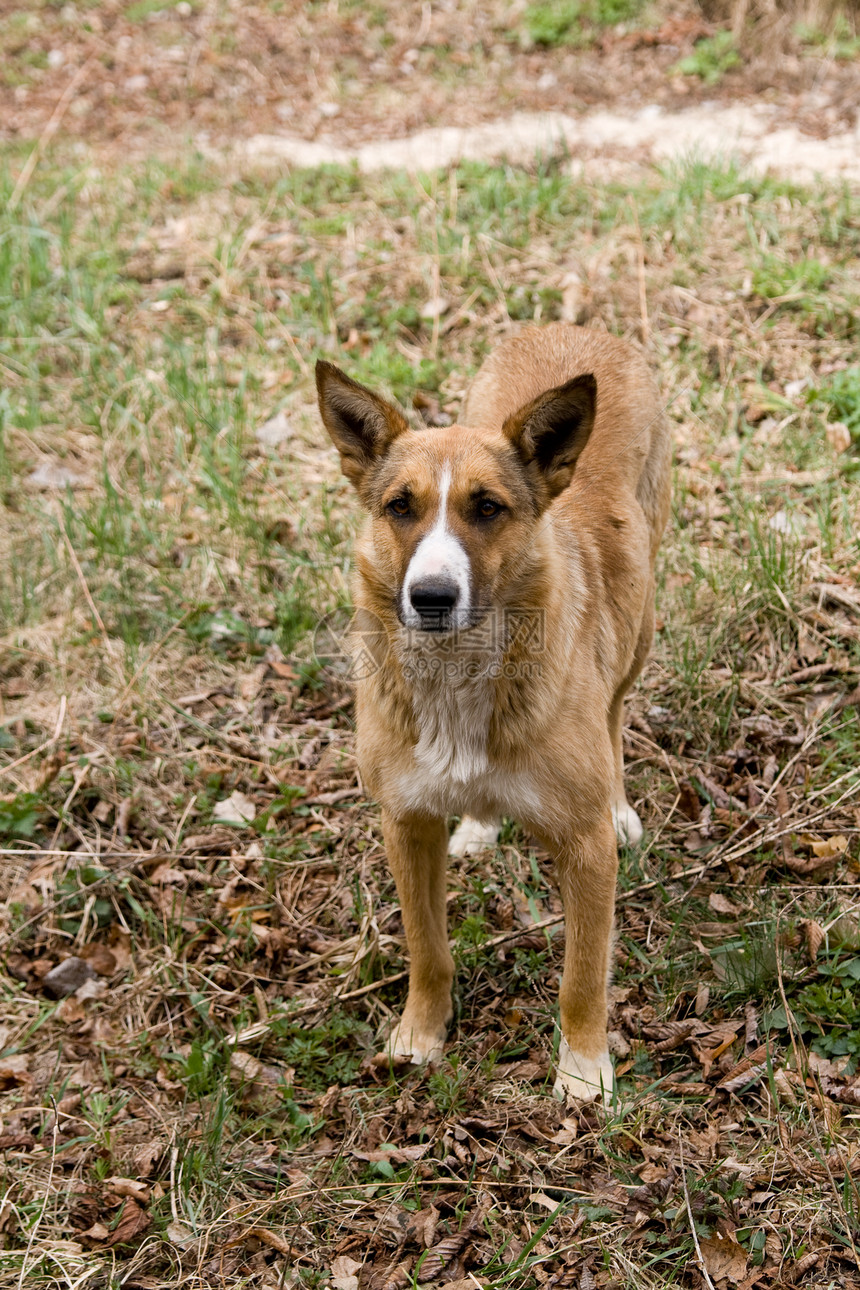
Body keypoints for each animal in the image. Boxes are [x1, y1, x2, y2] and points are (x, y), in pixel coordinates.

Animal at [315, 327, 670, 1104]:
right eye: (399, 506)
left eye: (487, 508)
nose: (432, 597)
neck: (459, 676)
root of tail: (575, 330)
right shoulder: (405, 824)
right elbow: (426, 949)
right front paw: (421, 1035)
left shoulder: (584, 850)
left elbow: (582, 976)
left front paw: (583, 1071)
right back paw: (479, 824)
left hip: (639, 625)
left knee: (615, 710)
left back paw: (619, 802)